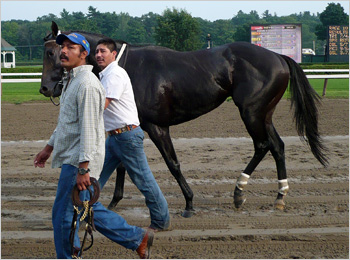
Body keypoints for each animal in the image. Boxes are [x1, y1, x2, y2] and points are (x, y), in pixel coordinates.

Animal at [41, 21, 328, 217]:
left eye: (52, 52)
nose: (45, 88)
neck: (125, 66)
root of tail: (279, 56)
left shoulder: (157, 126)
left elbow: (173, 163)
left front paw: (189, 202)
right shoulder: (130, 123)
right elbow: (122, 163)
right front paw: (113, 201)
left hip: (251, 112)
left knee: (262, 145)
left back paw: (239, 191)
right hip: (264, 113)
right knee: (277, 145)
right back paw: (279, 195)